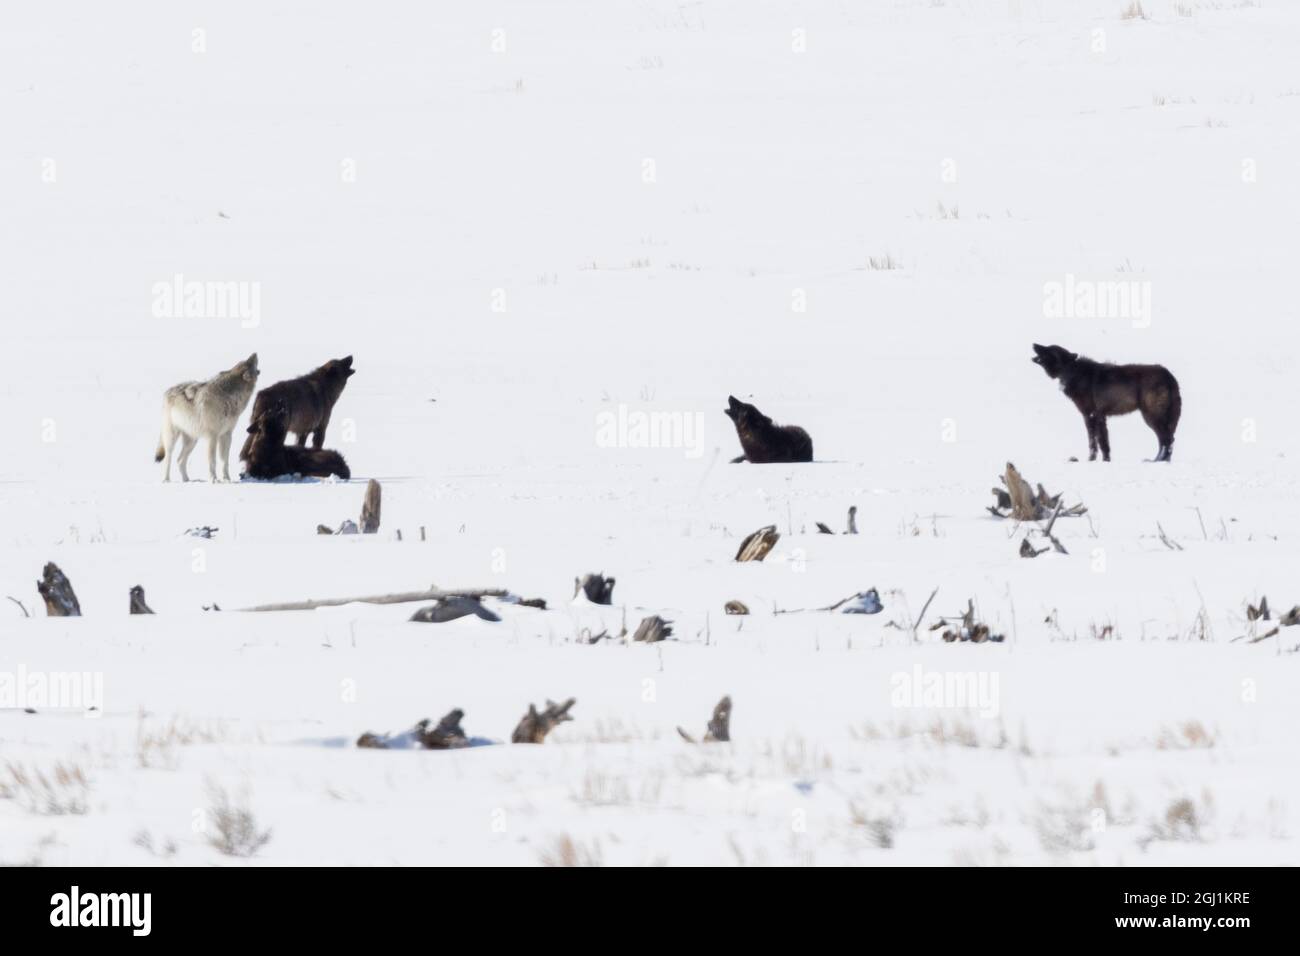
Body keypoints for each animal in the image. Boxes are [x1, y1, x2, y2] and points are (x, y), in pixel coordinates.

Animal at [1029, 343, 1185, 463]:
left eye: (1048, 348)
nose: (1034, 344)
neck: (1072, 372)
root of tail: (1169, 376)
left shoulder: (1091, 415)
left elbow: (1095, 442)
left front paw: (1093, 461)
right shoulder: (1100, 417)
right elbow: (1103, 443)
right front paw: (1105, 461)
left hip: (1151, 417)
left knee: (1167, 439)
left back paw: (1158, 462)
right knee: (1167, 439)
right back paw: (1160, 461)